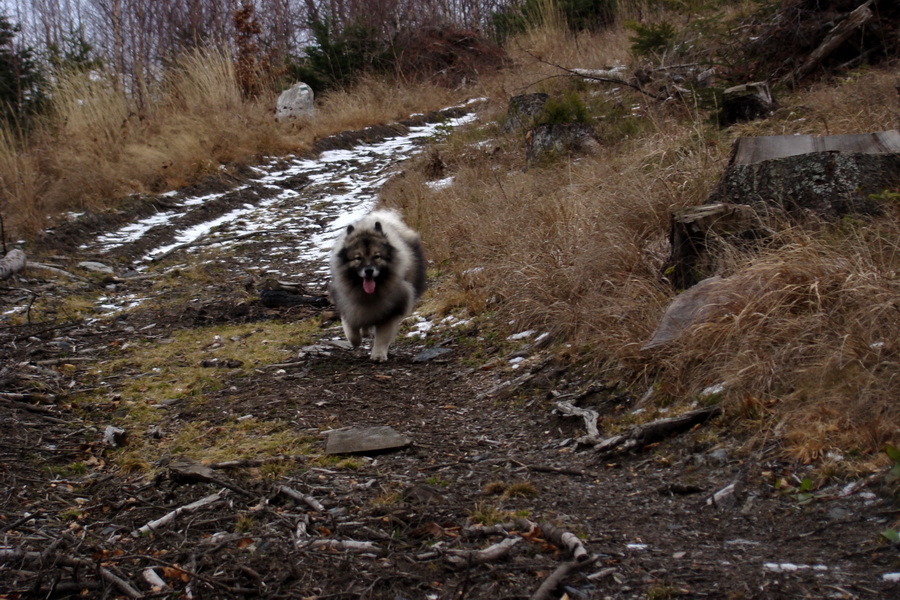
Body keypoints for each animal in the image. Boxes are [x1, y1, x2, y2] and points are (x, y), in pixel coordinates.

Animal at [328, 211, 428, 360]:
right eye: (358, 258)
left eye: (377, 256)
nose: (369, 270)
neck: (368, 295)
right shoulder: (349, 305)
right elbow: (351, 331)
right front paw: (356, 340)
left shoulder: (390, 310)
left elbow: (382, 336)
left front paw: (378, 355)